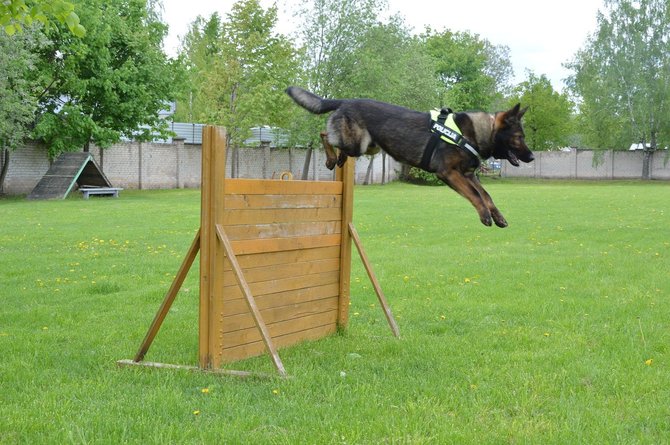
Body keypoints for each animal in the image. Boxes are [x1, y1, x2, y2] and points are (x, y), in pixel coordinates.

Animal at [288, 86, 536, 227]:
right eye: (519, 137)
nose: (532, 157)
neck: (474, 134)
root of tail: (345, 100)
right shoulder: (449, 174)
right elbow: (475, 195)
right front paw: (485, 216)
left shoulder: (469, 175)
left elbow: (486, 195)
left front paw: (498, 216)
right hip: (356, 144)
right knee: (324, 135)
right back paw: (331, 159)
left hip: (368, 147)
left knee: (332, 141)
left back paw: (338, 159)